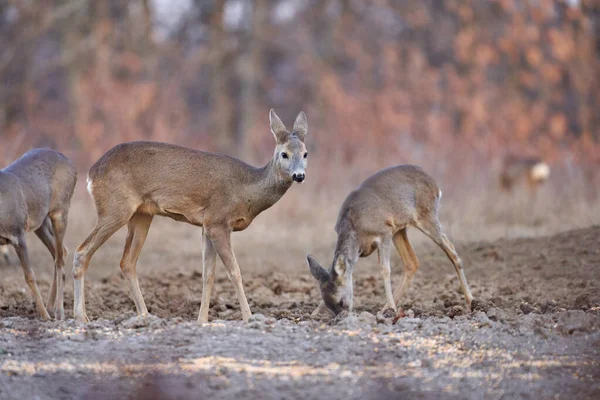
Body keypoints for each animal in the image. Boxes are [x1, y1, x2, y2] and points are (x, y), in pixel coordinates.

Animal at [0, 148, 77, 320]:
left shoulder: (18, 234)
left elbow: (29, 276)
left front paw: (44, 316)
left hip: (60, 210)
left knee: (59, 258)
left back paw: (58, 312)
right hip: (41, 222)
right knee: (61, 252)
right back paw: (50, 307)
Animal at [71, 108, 310, 322]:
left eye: (305, 153)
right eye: (284, 154)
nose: (299, 175)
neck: (246, 191)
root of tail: (91, 174)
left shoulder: (207, 226)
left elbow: (207, 274)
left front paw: (202, 319)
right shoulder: (218, 220)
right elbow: (234, 271)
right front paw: (249, 317)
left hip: (141, 214)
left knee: (127, 262)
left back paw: (145, 315)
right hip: (115, 207)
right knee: (82, 251)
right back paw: (82, 317)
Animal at [310, 164, 474, 318]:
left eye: (341, 302)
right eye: (328, 303)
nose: (341, 316)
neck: (354, 226)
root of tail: (435, 186)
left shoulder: (384, 233)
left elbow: (385, 269)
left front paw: (391, 307)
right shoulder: (384, 235)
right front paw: (314, 313)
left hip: (426, 216)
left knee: (450, 249)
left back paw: (470, 301)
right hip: (400, 229)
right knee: (412, 262)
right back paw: (385, 309)